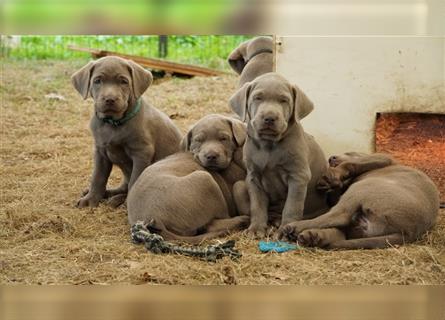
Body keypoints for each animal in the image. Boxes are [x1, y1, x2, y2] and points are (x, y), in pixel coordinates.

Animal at [70, 56, 180, 209]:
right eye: (97, 81)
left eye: (124, 81)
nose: (110, 99)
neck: (113, 123)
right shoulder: (100, 152)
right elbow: (97, 177)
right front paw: (91, 199)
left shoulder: (142, 153)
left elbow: (135, 180)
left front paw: (129, 203)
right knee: (124, 186)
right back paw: (108, 194)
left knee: (128, 185)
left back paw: (117, 200)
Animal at [126, 114, 248, 242]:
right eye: (198, 140)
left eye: (224, 138)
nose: (211, 156)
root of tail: (153, 218)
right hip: (204, 179)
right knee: (214, 222)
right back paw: (241, 220)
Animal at [231, 72, 328, 238]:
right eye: (258, 98)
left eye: (284, 100)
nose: (269, 118)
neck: (269, 145)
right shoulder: (253, 177)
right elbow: (257, 205)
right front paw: (256, 228)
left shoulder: (298, 176)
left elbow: (292, 206)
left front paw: (285, 230)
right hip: (240, 186)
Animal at [280, 152, 438, 250]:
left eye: (349, 152)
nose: (331, 158)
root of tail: (408, 232)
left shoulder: (382, 157)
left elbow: (351, 163)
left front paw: (330, 176)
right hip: (359, 225)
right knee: (340, 230)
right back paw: (312, 236)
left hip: (362, 188)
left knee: (339, 216)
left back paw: (294, 227)